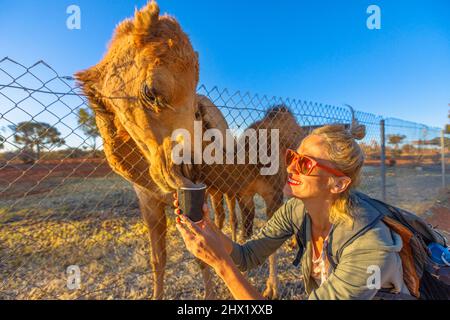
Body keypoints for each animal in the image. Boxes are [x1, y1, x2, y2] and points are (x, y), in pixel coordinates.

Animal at [76, 0, 306, 300]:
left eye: (195, 109)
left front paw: (224, 292)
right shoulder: (148, 198)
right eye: (150, 92)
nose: (188, 167)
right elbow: (157, 259)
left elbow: (208, 253)